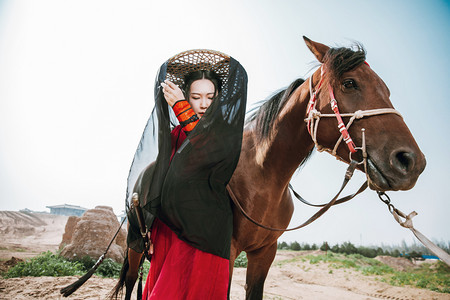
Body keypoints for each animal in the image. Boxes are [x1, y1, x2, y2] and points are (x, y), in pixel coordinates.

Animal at [111, 38, 426, 300]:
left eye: (386, 90)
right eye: (350, 83)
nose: (411, 162)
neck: (261, 178)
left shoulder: (265, 253)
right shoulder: (226, 252)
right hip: (135, 246)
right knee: (131, 281)